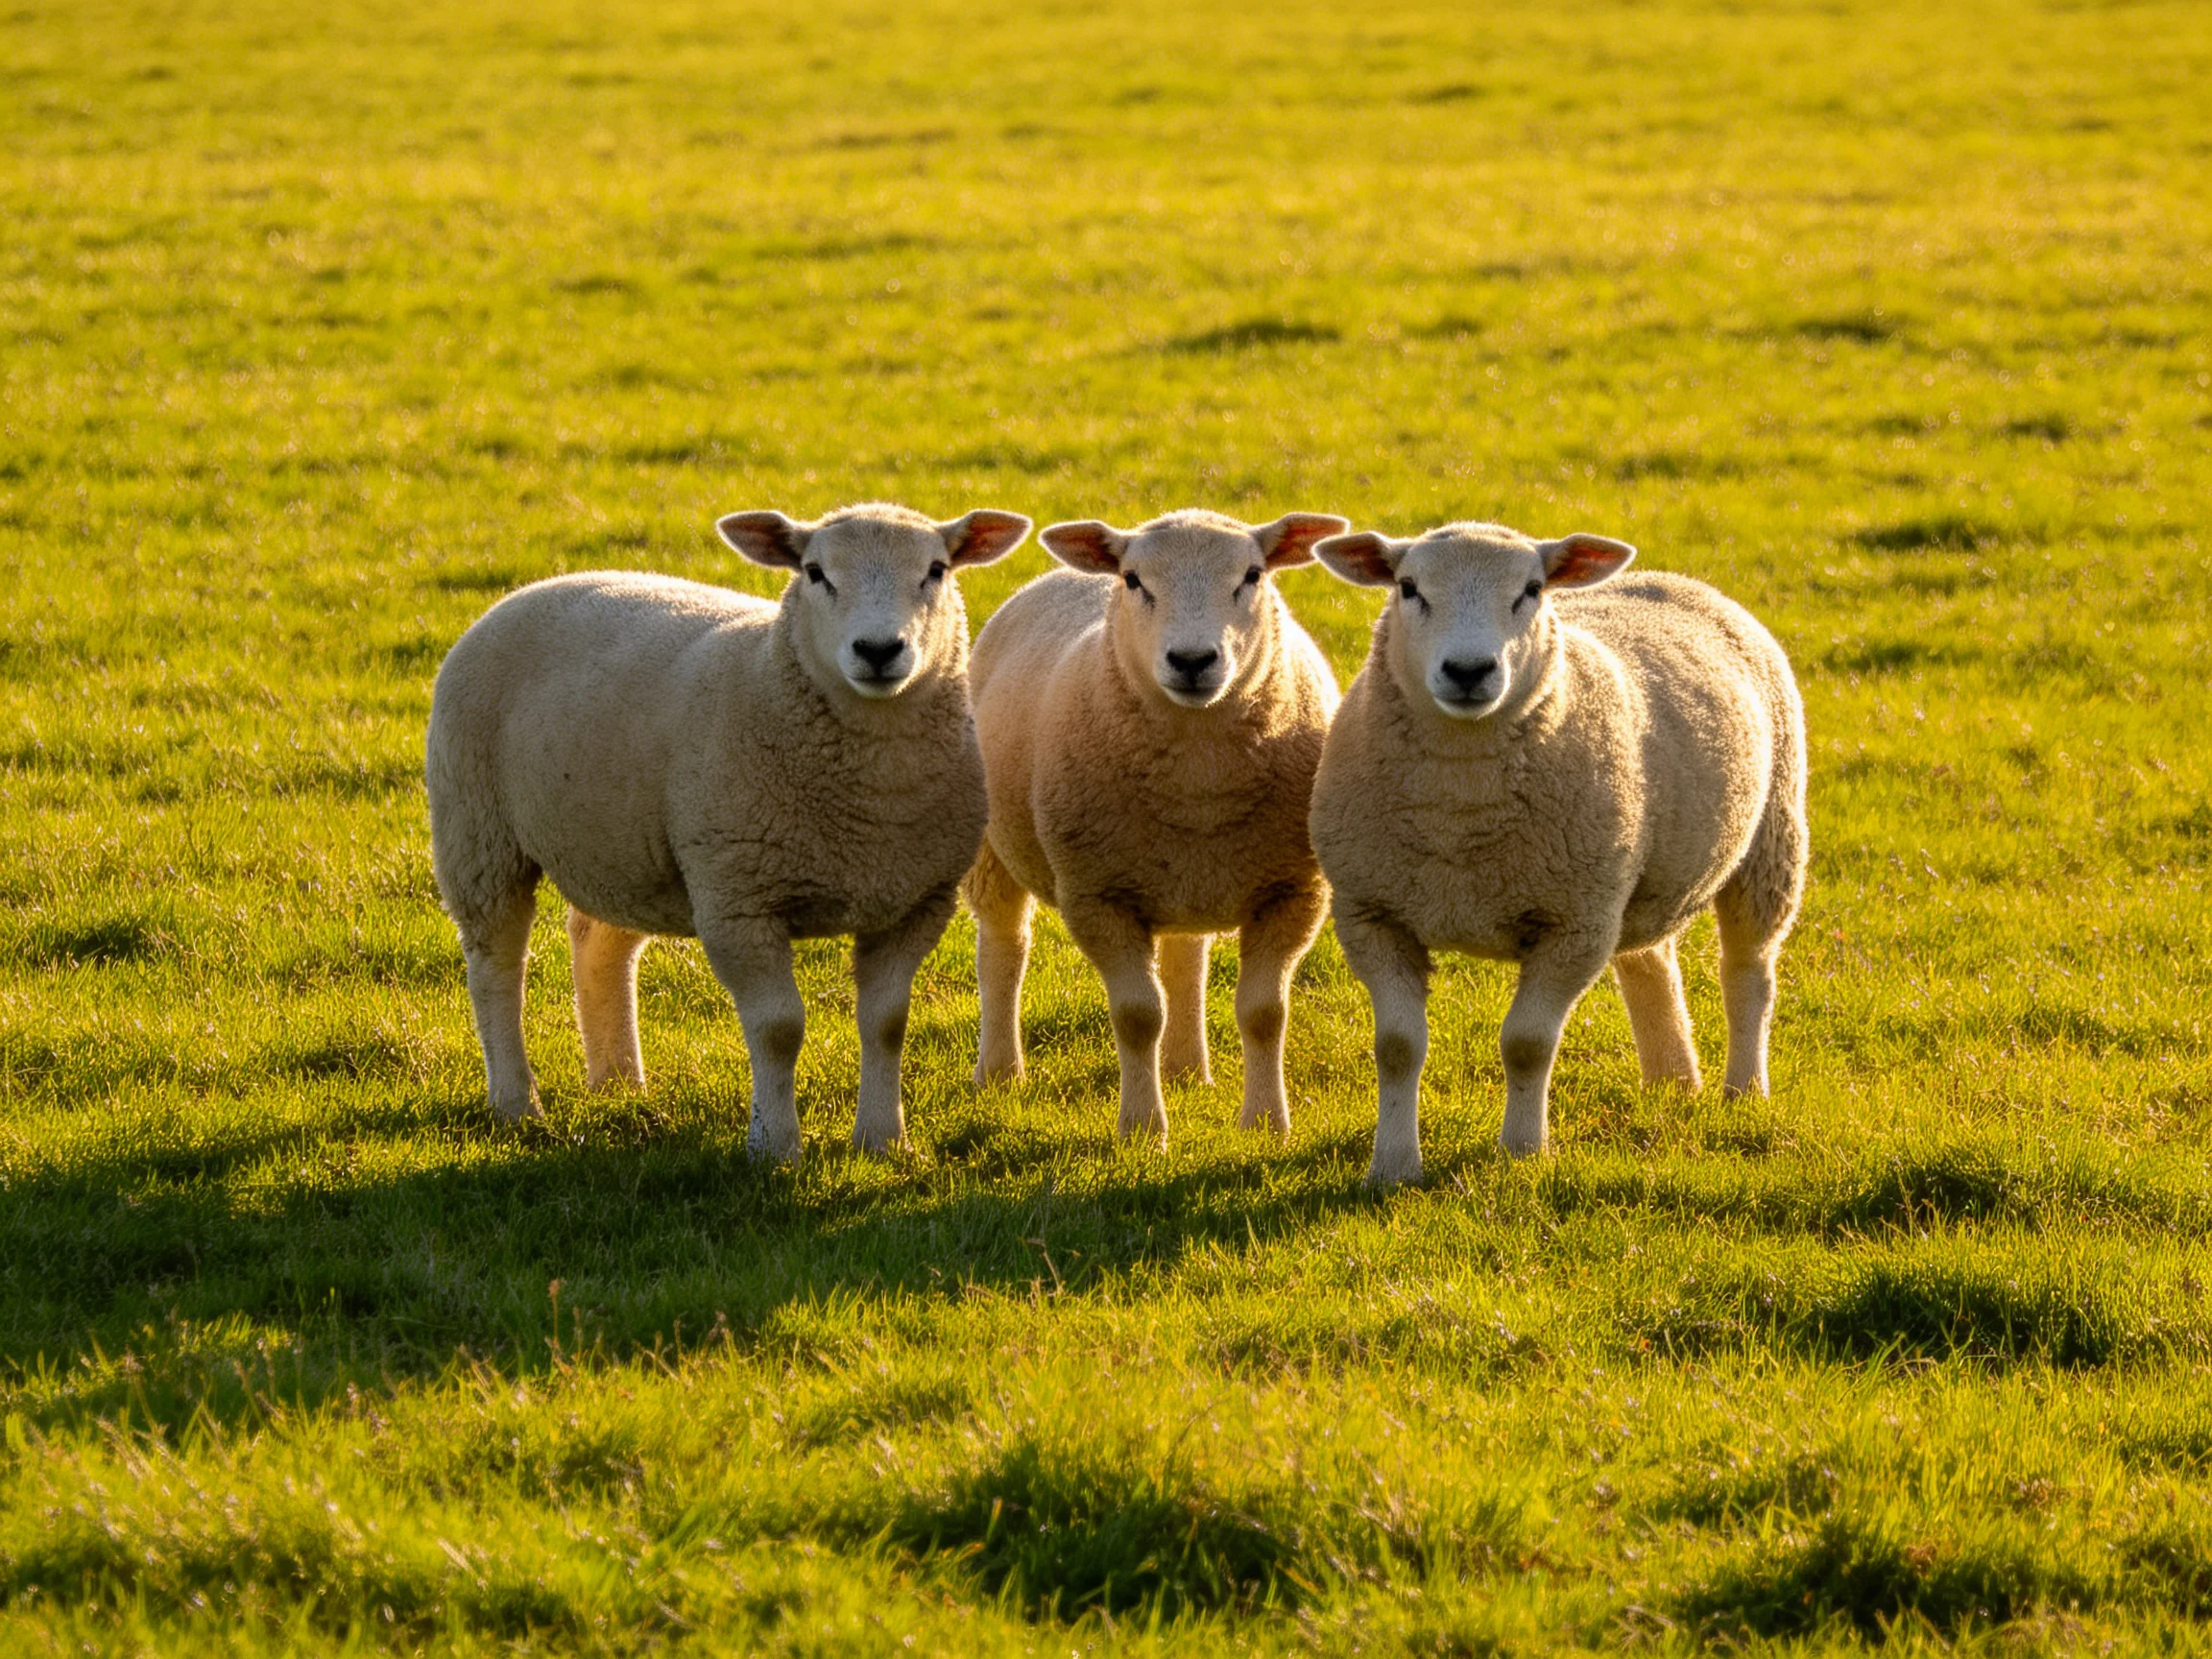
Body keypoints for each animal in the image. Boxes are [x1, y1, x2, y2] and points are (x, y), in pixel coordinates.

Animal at [425, 502, 1032, 1158]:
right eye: (815, 572)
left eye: (937, 570)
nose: (877, 649)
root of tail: (535, 587)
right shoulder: (738, 901)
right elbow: (777, 1028)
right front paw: (775, 1146)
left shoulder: (914, 903)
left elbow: (887, 1023)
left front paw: (882, 1140)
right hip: (478, 830)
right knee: (496, 967)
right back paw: (517, 1104)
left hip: (626, 849)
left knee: (600, 943)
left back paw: (619, 1084)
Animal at [964, 508, 1349, 1142]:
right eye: (1134, 579)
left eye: (1252, 575)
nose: (1192, 661)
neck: (1198, 783)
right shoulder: (1099, 896)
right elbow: (1138, 1016)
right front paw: (1143, 1129)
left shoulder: (1294, 891)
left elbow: (1264, 1013)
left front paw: (1266, 1123)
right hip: (994, 850)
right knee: (1004, 949)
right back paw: (1000, 1072)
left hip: (1186, 877)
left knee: (1185, 960)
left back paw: (1188, 1069)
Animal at [1306, 521, 1807, 1183]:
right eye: (1408, 587)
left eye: (1532, 590)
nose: (1468, 670)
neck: (1459, 811)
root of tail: (1674, 578)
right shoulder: (1372, 914)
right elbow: (1396, 1047)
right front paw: (1392, 1168)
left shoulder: (1572, 925)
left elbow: (1526, 1044)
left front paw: (1521, 1151)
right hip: (1629, 876)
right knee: (1649, 961)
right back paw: (1672, 1084)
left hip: (1770, 842)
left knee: (1748, 973)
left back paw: (1743, 1093)